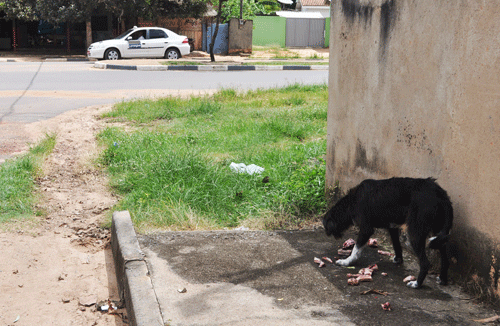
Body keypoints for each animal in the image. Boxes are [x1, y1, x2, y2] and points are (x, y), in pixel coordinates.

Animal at [324, 178, 454, 288]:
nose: (327, 234)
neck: (352, 201)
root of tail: (440, 193)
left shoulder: (366, 229)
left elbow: (356, 249)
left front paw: (347, 261)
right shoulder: (392, 227)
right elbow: (396, 245)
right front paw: (398, 259)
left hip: (415, 233)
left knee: (425, 263)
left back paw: (416, 284)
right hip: (438, 232)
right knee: (445, 256)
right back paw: (442, 279)